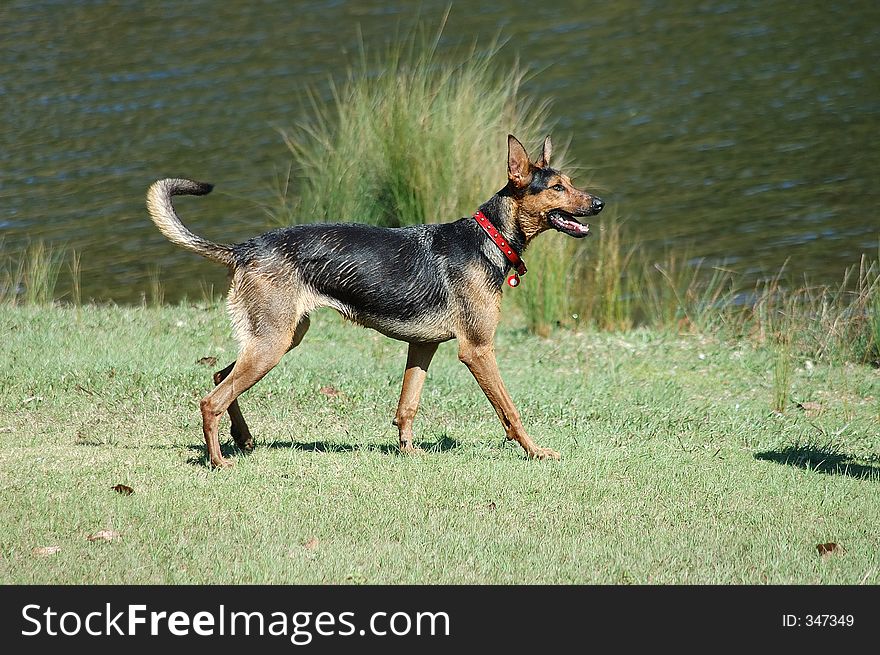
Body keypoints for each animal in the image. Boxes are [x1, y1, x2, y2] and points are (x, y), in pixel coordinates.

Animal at [150, 136, 604, 468]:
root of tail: (244, 248)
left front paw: (408, 451)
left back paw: (242, 439)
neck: (488, 237)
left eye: (570, 182)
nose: (599, 203)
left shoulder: (423, 345)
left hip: (280, 338)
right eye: (558, 188)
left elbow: (408, 405)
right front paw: (536, 452)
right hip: (271, 344)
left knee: (219, 377)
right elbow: (510, 411)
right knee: (212, 399)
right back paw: (218, 462)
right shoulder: (477, 350)